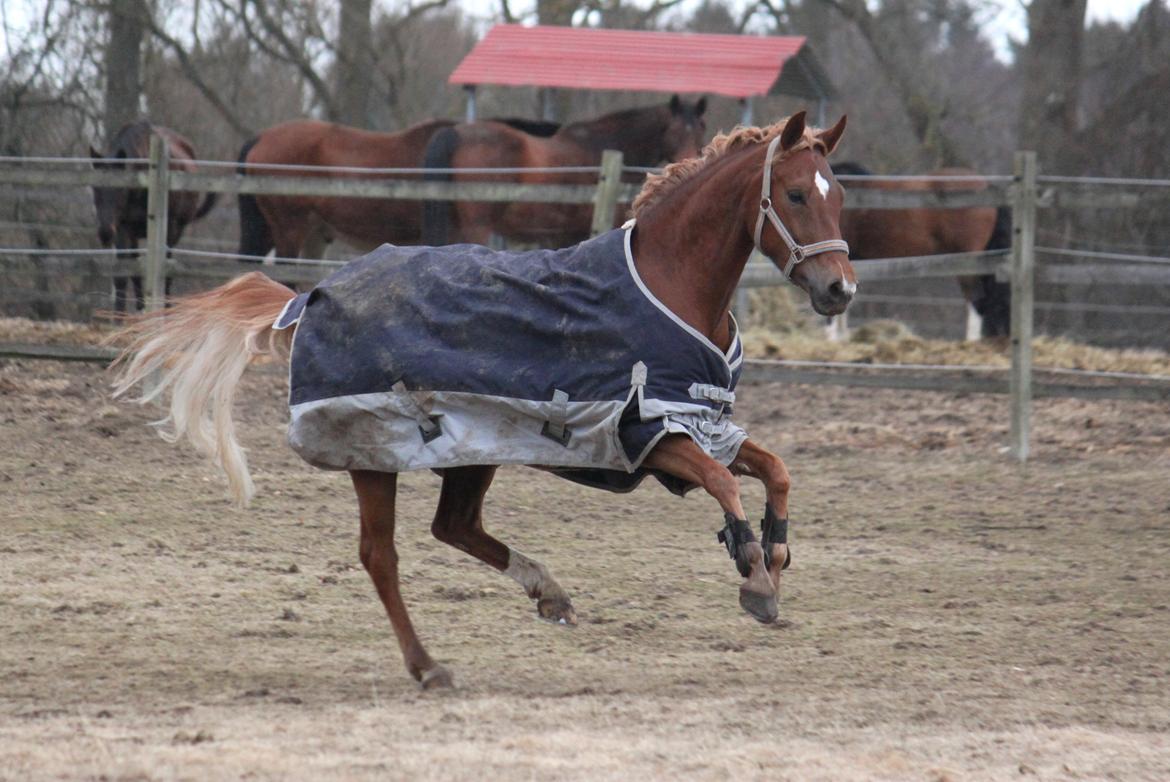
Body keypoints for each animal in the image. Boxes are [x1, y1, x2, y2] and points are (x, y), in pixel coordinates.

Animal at [87, 122, 218, 311]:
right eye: (95, 188)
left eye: (120, 189)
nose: (105, 233)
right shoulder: (123, 228)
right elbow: (124, 274)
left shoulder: (169, 227)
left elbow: (165, 274)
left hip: (176, 229)